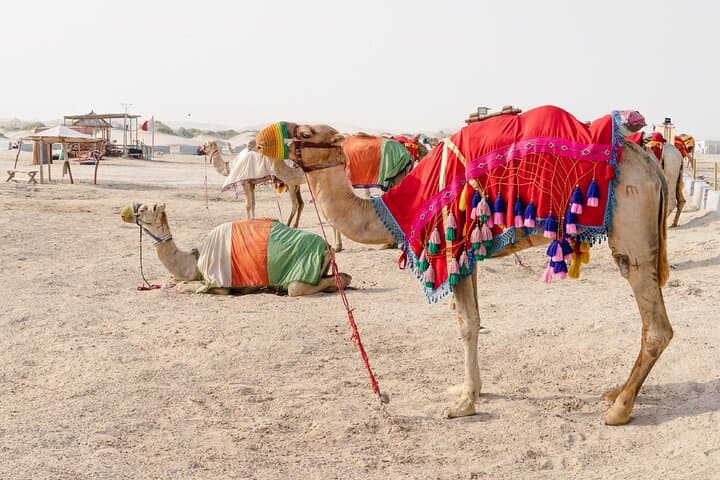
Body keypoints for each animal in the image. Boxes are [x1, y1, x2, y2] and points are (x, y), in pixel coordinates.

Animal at [120, 202, 351, 296]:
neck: (194, 260)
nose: (126, 213)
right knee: (344, 276)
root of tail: (328, 248)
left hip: (300, 275)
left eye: (145, 209)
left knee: (299, 287)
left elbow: (188, 287)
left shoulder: (219, 281)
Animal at [256, 109, 672, 425]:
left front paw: (463, 404)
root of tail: (653, 167)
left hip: (630, 231)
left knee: (656, 326)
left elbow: (466, 323)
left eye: (305, 132)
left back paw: (620, 409)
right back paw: (615, 392)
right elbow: (472, 319)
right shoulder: (467, 254)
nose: (260, 140)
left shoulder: (451, 244)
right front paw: (469, 390)